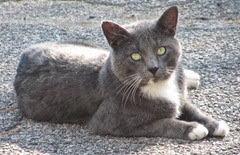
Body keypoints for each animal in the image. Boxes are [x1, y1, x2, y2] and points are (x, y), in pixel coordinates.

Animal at [14, 6, 229, 140]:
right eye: (135, 56)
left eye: (161, 50)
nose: (153, 68)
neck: (160, 86)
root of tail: (25, 53)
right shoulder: (112, 122)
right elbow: (163, 122)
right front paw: (193, 128)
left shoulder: (179, 94)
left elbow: (190, 107)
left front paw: (215, 123)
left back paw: (191, 76)